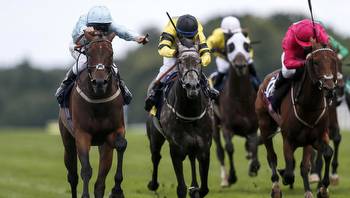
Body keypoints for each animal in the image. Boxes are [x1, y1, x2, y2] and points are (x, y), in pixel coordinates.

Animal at [58, 30, 127, 197]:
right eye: (89, 53)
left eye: (111, 53)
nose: (100, 82)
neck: (99, 100)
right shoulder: (82, 134)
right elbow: (86, 170)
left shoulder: (115, 130)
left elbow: (121, 145)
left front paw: (117, 190)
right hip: (67, 139)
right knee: (73, 176)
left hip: (104, 145)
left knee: (100, 182)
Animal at [146, 38, 212, 196]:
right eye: (180, 61)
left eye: (199, 61)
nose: (192, 86)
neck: (191, 114)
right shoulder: (176, 149)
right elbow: (181, 188)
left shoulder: (204, 147)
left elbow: (204, 189)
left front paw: (195, 189)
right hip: (155, 136)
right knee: (156, 156)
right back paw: (153, 184)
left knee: (192, 158)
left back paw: (194, 186)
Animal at [211, 32, 260, 186]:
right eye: (230, 46)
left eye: (247, 45)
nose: (240, 65)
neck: (241, 98)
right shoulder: (227, 127)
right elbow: (229, 148)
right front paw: (232, 176)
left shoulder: (253, 127)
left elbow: (253, 145)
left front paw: (254, 167)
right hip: (215, 126)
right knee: (220, 151)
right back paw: (224, 180)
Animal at [256, 39, 338, 198]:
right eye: (316, 62)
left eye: (333, 60)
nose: (329, 88)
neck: (308, 106)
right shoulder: (288, 138)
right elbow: (289, 172)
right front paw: (285, 178)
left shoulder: (312, 138)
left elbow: (317, 159)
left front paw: (320, 189)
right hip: (264, 126)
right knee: (272, 156)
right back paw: (276, 187)